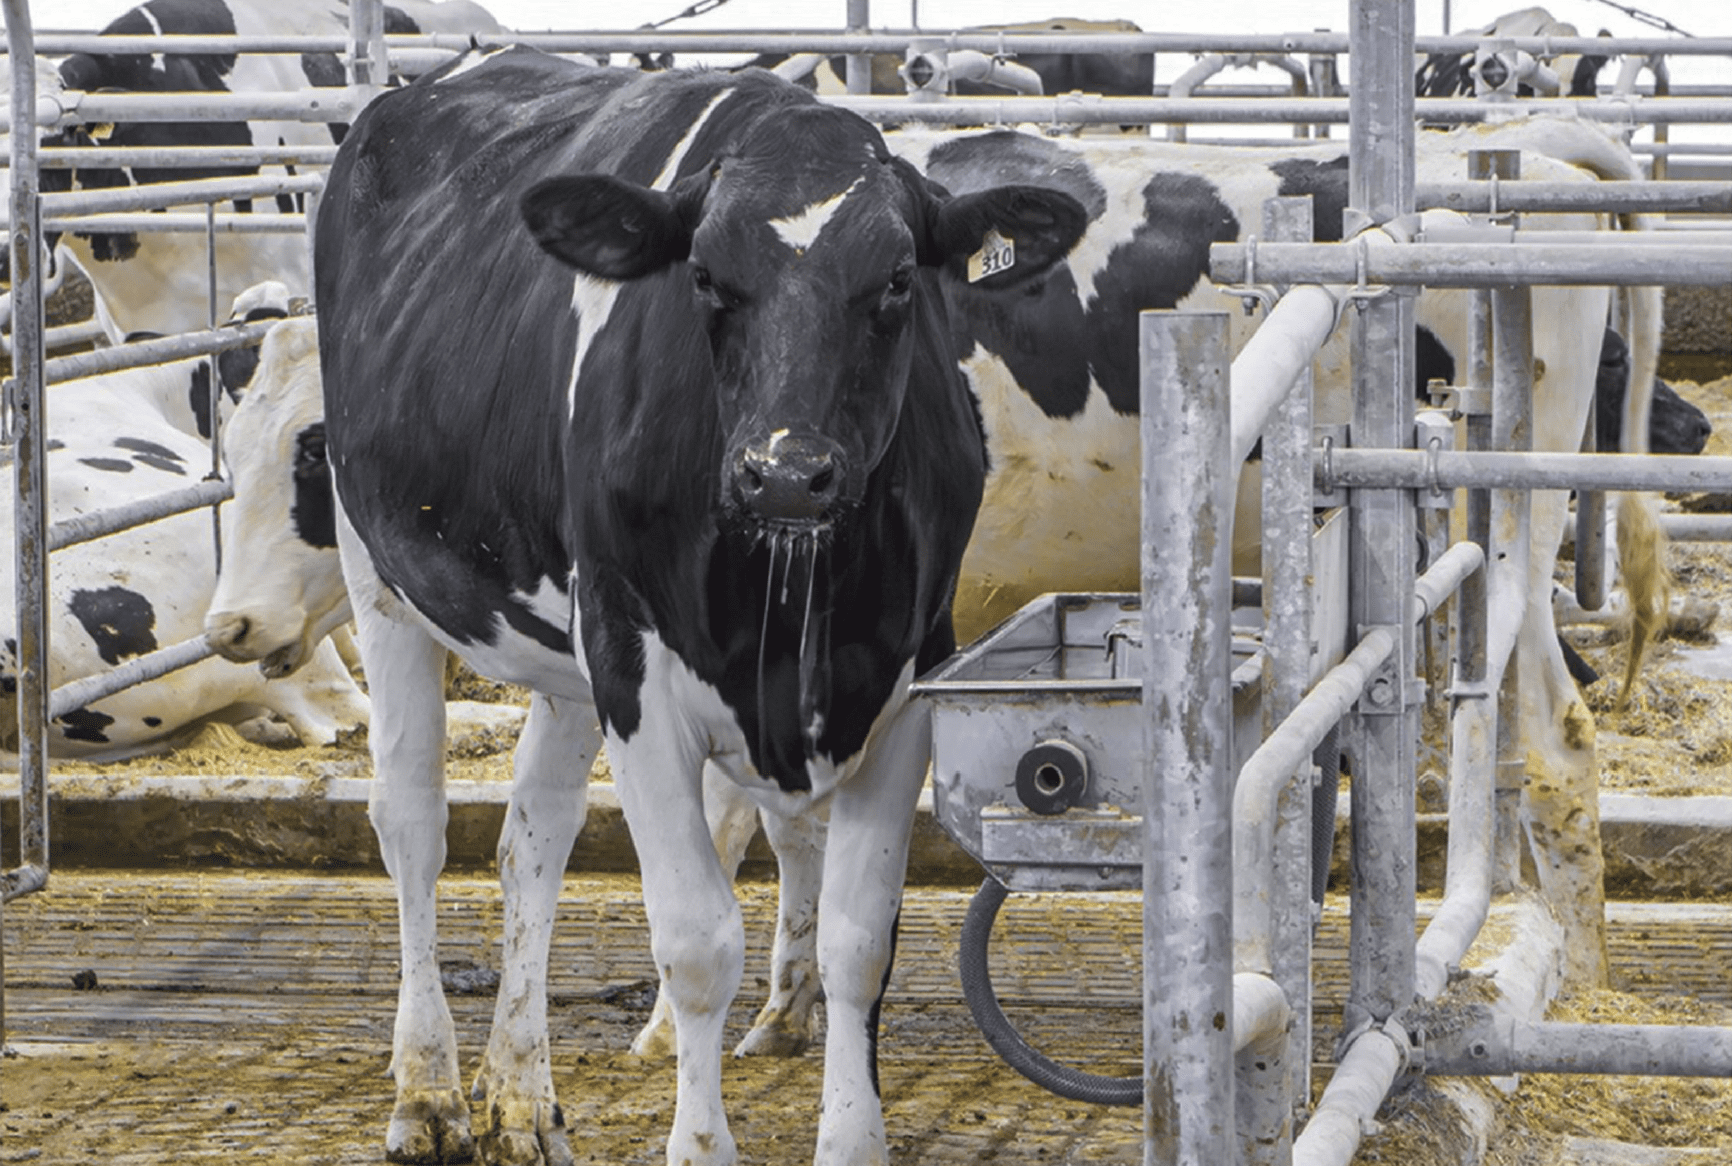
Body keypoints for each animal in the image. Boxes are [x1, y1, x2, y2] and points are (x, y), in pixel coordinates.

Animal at [306, 47, 1073, 1164]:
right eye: (705, 277)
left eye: (898, 280)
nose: (786, 473)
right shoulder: (638, 675)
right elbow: (699, 941)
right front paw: (699, 1140)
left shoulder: (906, 679)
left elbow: (858, 938)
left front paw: (851, 1137)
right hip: (382, 568)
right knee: (412, 821)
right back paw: (430, 1092)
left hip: (569, 639)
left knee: (531, 835)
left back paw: (519, 1095)